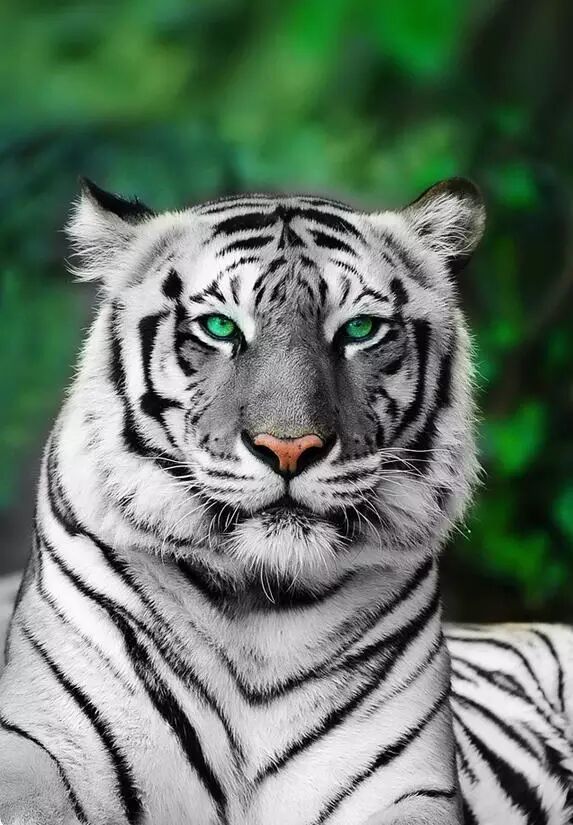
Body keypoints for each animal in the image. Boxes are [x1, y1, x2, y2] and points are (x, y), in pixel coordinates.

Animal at [0, 176, 572, 825]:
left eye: (359, 331)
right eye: (220, 327)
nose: (290, 447)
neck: (259, 611)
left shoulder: (408, 788)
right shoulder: (42, 753)